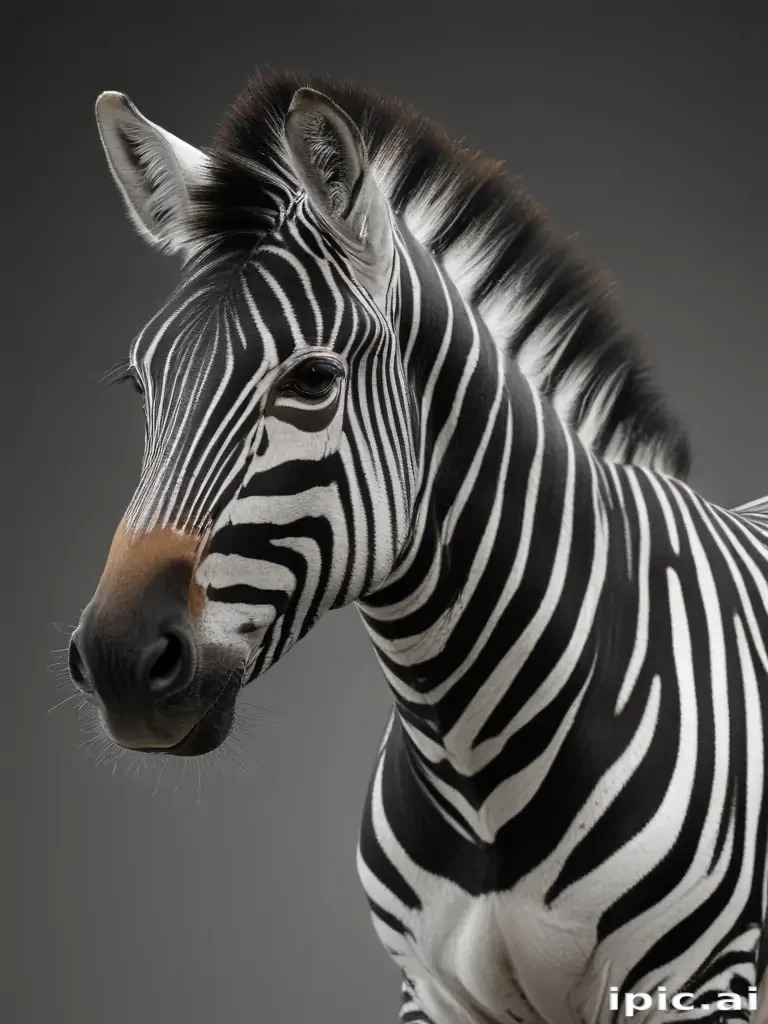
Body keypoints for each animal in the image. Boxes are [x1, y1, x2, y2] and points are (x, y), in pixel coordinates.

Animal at [66, 71, 768, 1024]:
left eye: (313, 380)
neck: (474, 769)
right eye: (142, 383)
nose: (118, 660)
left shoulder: (699, 986)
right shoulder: (433, 991)